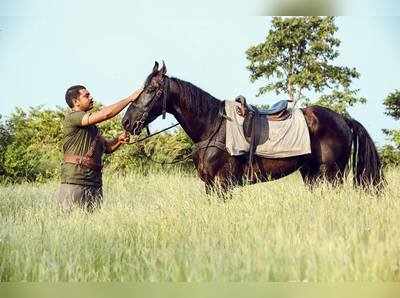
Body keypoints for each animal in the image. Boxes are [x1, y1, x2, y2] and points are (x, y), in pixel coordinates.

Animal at [122, 62, 384, 193]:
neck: (213, 126)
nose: (126, 122)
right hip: (311, 174)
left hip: (332, 175)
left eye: (152, 89)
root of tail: (343, 119)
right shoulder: (209, 186)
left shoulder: (222, 185)